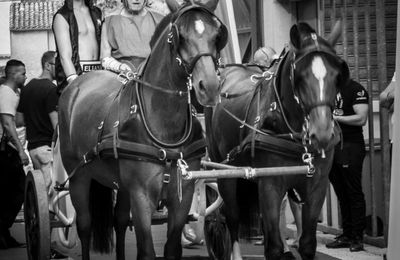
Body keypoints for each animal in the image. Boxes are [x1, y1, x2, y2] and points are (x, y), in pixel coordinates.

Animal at [57, 2, 227, 260]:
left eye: (217, 35)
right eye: (179, 36)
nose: (209, 87)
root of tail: (77, 85)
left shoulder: (183, 195)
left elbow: (171, 248)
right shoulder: (141, 196)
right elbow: (146, 250)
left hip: (121, 185)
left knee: (118, 222)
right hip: (78, 177)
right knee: (84, 226)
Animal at [205, 22, 348, 260]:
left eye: (338, 76)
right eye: (300, 76)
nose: (322, 134)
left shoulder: (316, 186)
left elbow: (307, 243)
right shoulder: (270, 185)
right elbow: (273, 247)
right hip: (225, 172)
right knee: (231, 217)